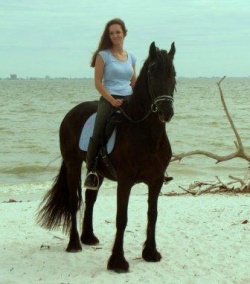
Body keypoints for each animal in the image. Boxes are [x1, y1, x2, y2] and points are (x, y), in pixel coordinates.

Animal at [38, 41, 177, 272]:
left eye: (173, 74)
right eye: (152, 73)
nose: (166, 111)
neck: (144, 132)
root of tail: (71, 113)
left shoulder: (156, 180)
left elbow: (153, 214)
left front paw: (150, 253)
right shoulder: (125, 181)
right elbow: (122, 218)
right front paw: (118, 262)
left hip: (97, 172)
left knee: (90, 199)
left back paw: (88, 237)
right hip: (73, 164)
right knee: (74, 201)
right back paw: (74, 244)